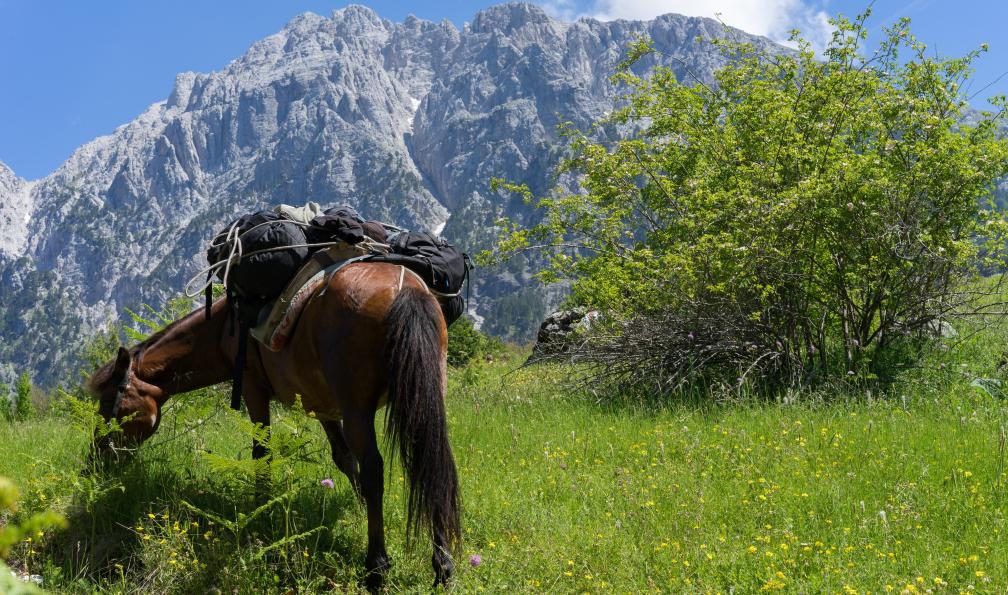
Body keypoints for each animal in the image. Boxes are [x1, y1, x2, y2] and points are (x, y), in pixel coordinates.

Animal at [86, 262, 461, 590]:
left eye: (109, 406)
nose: (95, 462)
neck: (225, 327)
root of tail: (405, 290)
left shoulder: (254, 389)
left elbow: (263, 456)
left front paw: (258, 513)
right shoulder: (322, 405)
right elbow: (344, 459)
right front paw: (356, 508)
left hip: (359, 409)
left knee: (376, 469)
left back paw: (377, 568)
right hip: (425, 394)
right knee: (432, 462)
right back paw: (442, 565)